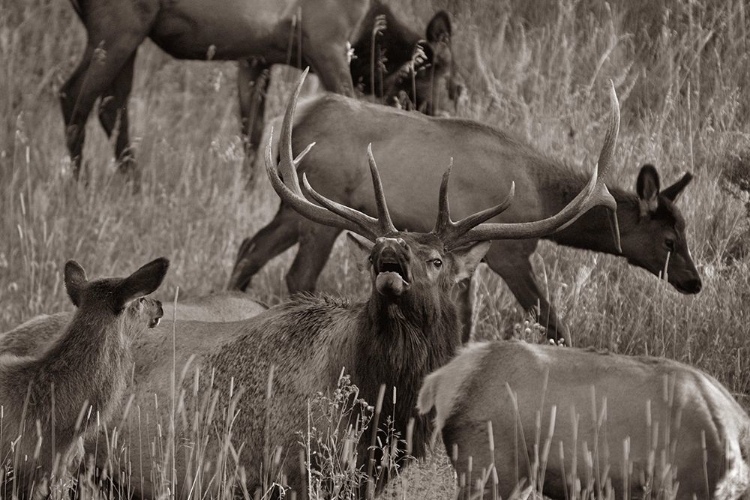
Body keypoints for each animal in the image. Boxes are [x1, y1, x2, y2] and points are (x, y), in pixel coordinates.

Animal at [61, 0, 456, 184]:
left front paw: (249, 191)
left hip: (131, 35)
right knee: (73, 95)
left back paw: (134, 183)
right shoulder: (328, 44)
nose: (445, 117)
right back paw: (79, 185)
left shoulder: (255, 59)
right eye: (454, 82)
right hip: (117, 28)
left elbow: (252, 134)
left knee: (112, 107)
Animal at [231, 81, 704, 344]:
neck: (539, 192)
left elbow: (465, 321)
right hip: (317, 209)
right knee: (298, 273)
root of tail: (295, 123)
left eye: (685, 230)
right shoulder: (510, 254)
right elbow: (551, 322)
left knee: (249, 247)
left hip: (292, 209)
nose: (694, 281)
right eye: (669, 239)